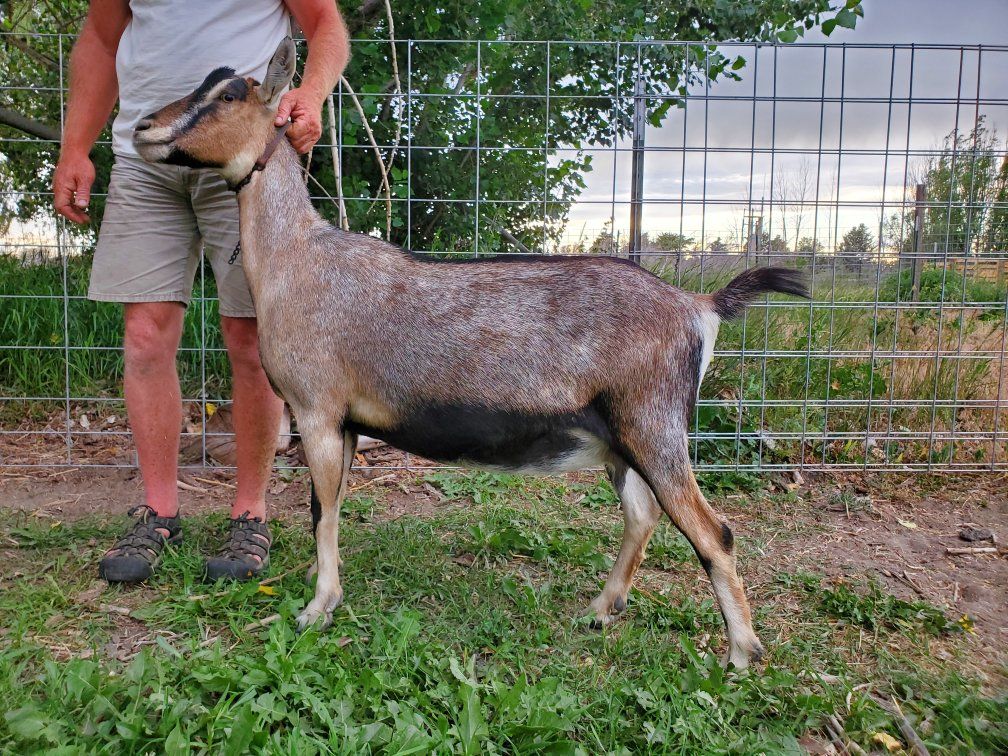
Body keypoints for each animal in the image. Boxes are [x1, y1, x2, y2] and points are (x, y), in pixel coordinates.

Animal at [133, 38, 809, 670]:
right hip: (620, 436)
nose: (143, 127)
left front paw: (317, 608)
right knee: (642, 516)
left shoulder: (317, 408)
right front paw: (315, 582)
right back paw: (600, 610)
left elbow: (323, 510)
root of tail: (699, 305)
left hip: (654, 425)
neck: (296, 262)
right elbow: (329, 506)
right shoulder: (344, 421)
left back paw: (741, 654)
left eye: (230, 95)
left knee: (714, 532)